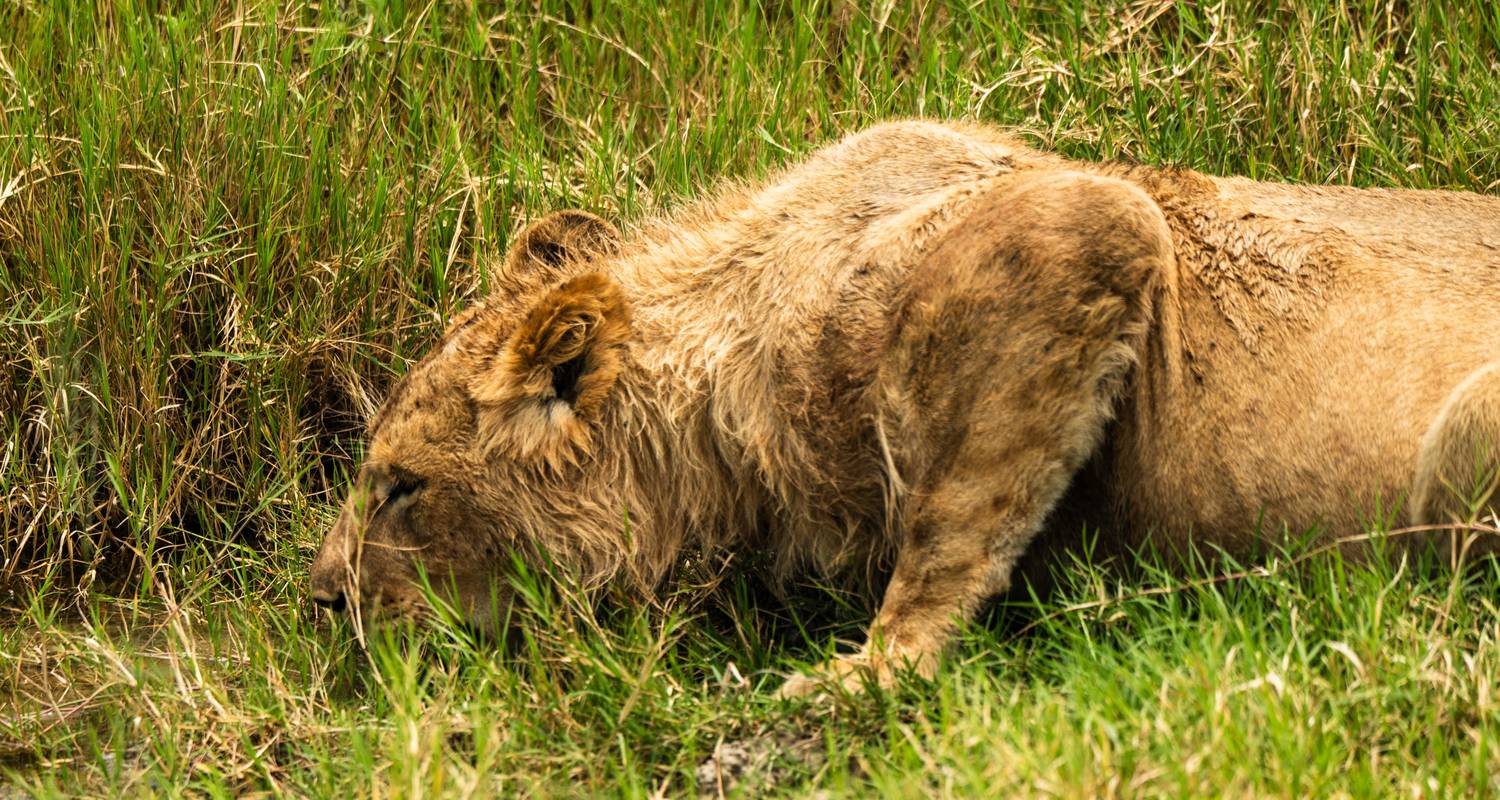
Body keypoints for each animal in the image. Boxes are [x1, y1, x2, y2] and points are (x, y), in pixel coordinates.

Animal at [307, 118, 1500, 693]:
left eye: (401, 488)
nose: (320, 599)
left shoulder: (1083, 224)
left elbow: (954, 517)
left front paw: (865, 675)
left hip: (1467, 433)